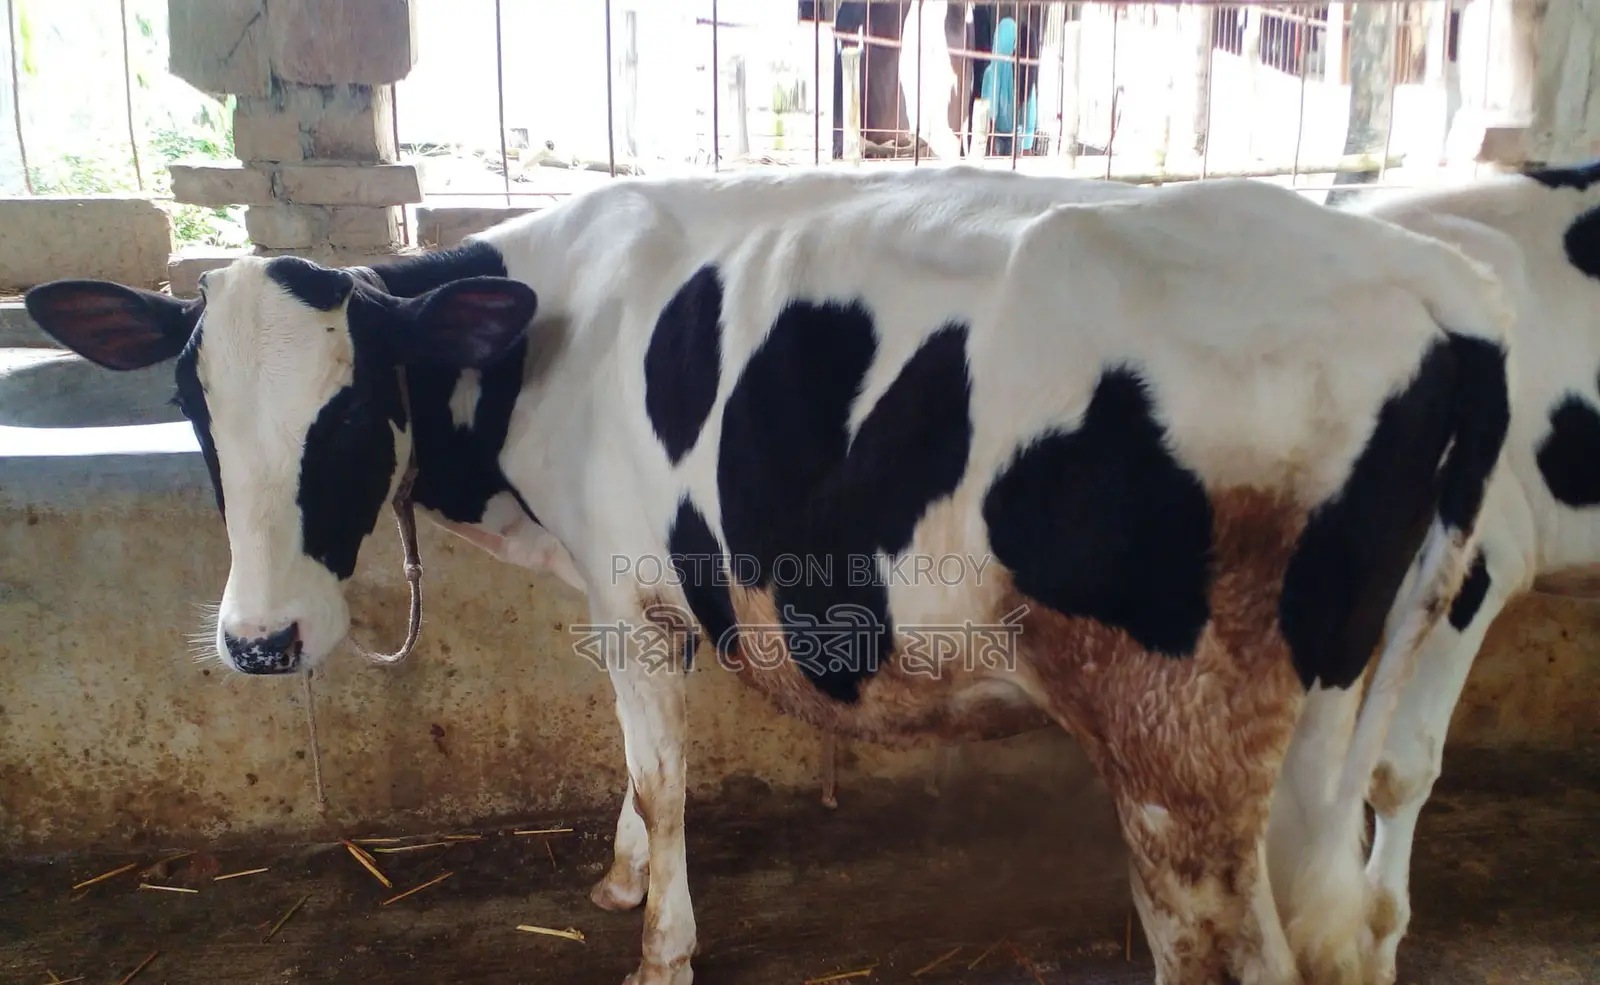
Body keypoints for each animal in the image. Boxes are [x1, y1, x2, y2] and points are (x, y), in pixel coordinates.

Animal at [24, 165, 1513, 985]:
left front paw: (661, 946)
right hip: (1358, 694)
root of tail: (1431, 281)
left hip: (1178, 739)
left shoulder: (634, 596)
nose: (261, 639)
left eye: (347, 414)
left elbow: (660, 773)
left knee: (1237, 953)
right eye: (195, 405)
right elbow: (634, 771)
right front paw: (623, 882)